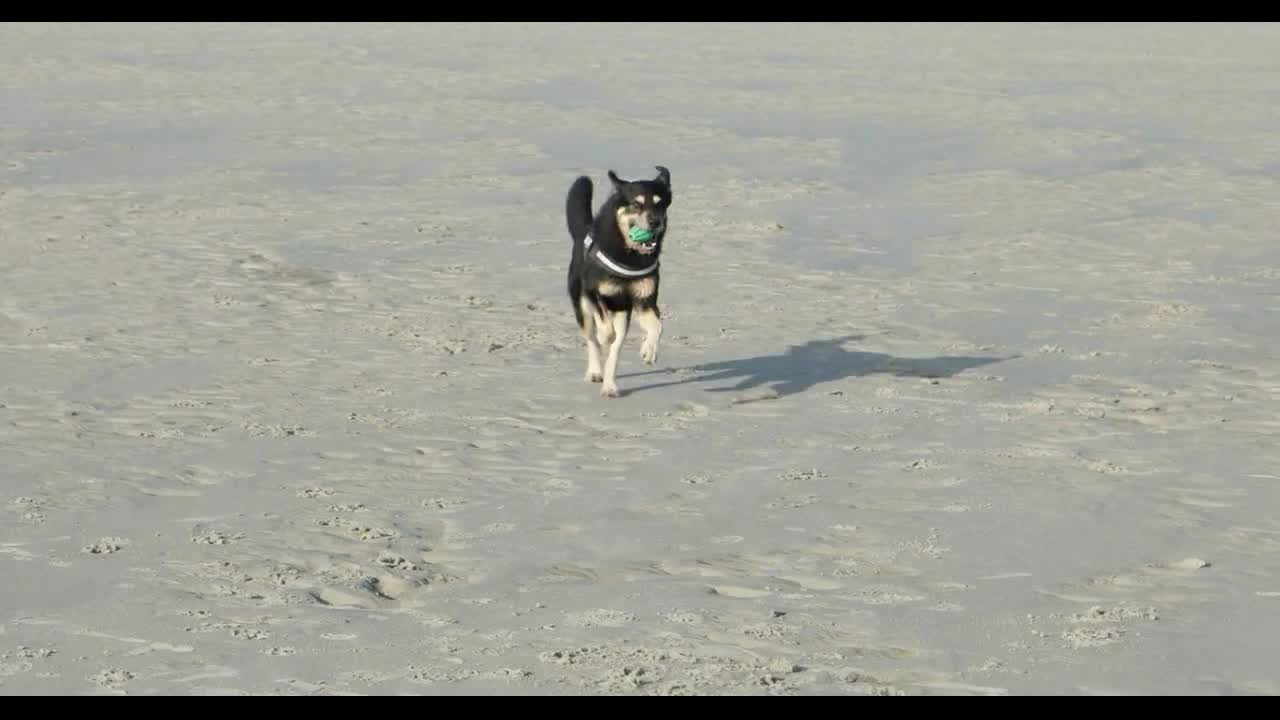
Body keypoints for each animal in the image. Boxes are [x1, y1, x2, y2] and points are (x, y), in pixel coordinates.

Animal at [565, 165, 675, 394]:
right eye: (636, 204)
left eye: (660, 203)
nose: (655, 222)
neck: (629, 255)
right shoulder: (593, 293)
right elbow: (604, 329)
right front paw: (605, 335)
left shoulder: (645, 301)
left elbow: (658, 327)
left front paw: (649, 350)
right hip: (582, 306)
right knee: (592, 338)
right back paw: (595, 371)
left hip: (623, 313)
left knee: (615, 351)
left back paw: (609, 386)